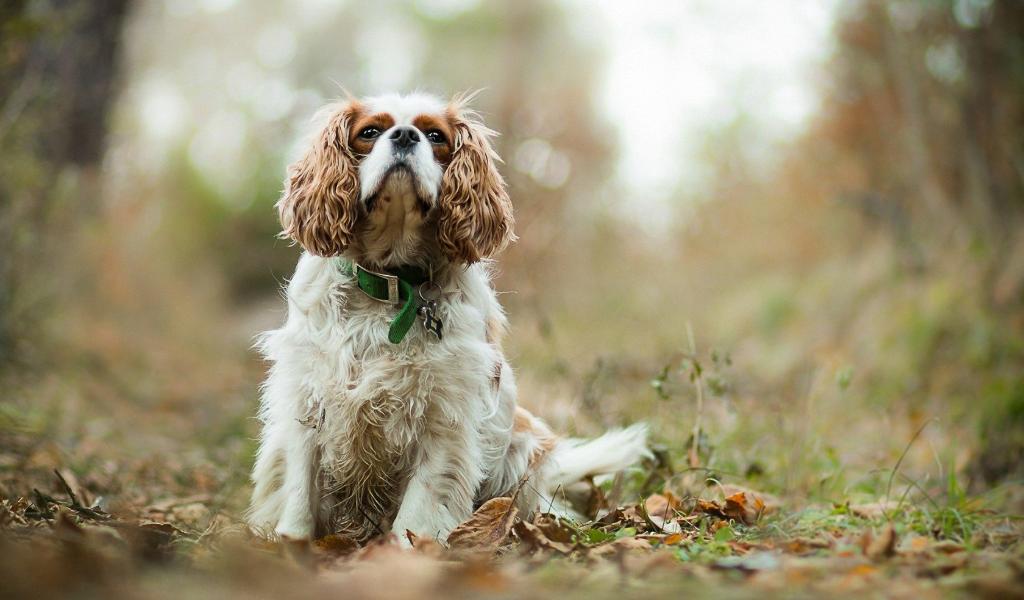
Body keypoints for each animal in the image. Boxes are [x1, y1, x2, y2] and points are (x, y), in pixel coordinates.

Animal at [247, 91, 647, 544]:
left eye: (436, 136)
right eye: (370, 131)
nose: (405, 135)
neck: (392, 284)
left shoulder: (444, 412)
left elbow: (419, 508)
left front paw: (406, 552)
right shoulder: (308, 396)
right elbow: (299, 491)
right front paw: (291, 545)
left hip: (521, 449)